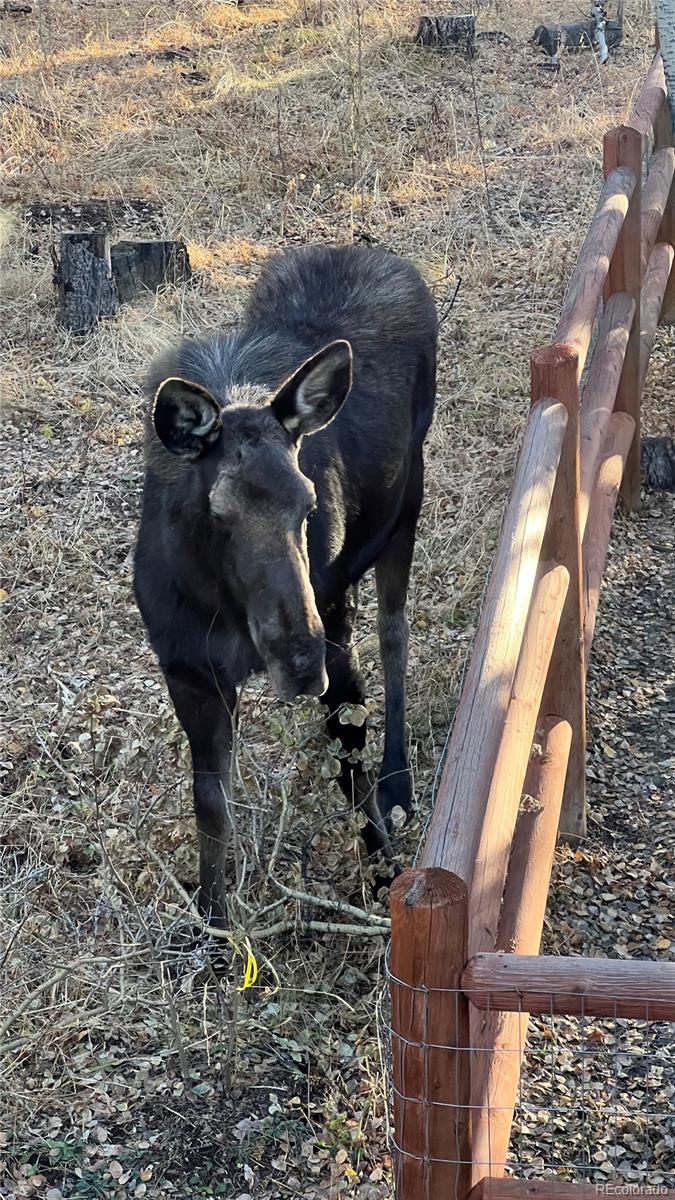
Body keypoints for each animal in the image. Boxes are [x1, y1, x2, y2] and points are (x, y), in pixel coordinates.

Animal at [132, 241, 437, 916]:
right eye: (218, 511)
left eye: (307, 502)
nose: (298, 659)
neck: (222, 611)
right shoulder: (187, 670)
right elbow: (210, 806)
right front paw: (214, 919)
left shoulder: (334, 649)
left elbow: (352, 770)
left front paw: (385, 880)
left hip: (407, 503)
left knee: (394, 633)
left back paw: (399, 779)